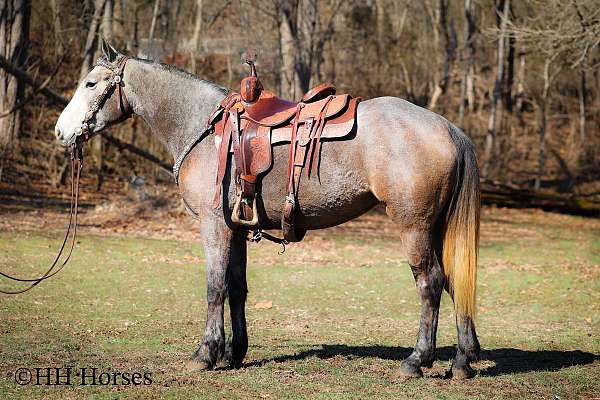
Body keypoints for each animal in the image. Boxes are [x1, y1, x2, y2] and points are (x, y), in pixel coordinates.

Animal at [54, 42, 480, 380]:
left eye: (90, 84)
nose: (61, 132)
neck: (203, 129)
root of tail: (447, 127)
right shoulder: (237, 228)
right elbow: (236, 288)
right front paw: (234, 352)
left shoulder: (214, 227)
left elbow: (214, 287)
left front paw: (205, 353)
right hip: (435, 229)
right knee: (454, 280)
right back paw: (462, 361)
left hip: (414, 227)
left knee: (429, 284)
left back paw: (416, 360)